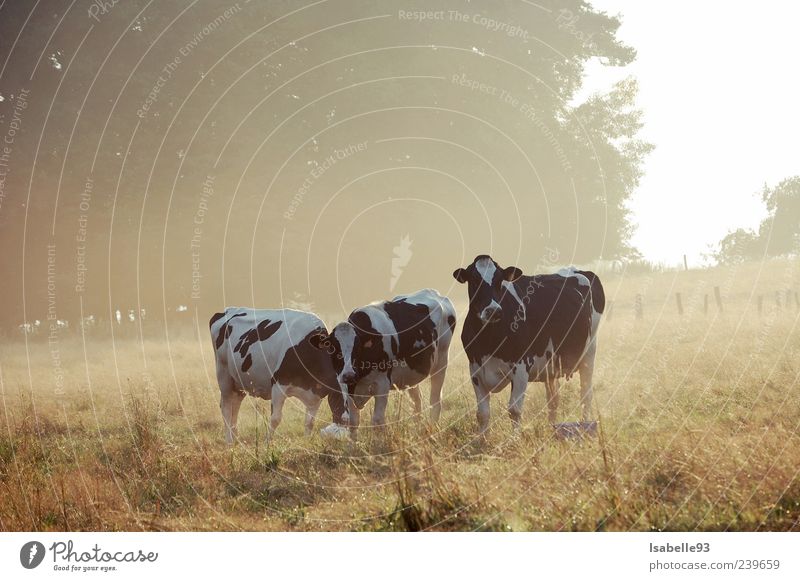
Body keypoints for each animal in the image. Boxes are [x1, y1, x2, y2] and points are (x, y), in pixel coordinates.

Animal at [318, 288, 456, 438]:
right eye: (332, 348)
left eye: (358, 347)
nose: (349, 375)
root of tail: (431, 292)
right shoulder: (346, 387)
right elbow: (353, 422)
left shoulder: (382, 384)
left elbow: (377, 420)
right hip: (412, 374)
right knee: (417, 402)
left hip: (441, 360)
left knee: (435, 401)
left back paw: (433, 429)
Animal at [450, 255, 600, 436]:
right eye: (474, 280)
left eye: (499, 280)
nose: (493, 310)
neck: (489, 339)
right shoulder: (475, 370)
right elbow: (482, 413)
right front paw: (482, 440)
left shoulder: (521, 367)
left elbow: (514, 410)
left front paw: (514, 439)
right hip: (551, 365)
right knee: (553, 399)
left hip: (589, 353)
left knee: (586, 394)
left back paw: (585, 426)